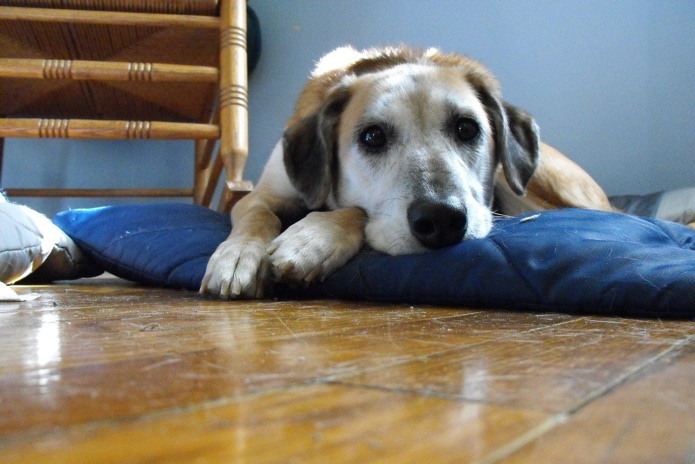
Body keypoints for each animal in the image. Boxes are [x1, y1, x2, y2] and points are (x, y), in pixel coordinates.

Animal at [198, 45, 612, 300]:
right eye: (372, 137)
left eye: (467, 128)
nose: (442, 220)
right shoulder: (261, 194)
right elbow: (257, 216)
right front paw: (239, 256)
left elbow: (355, 211)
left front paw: (311, 241)